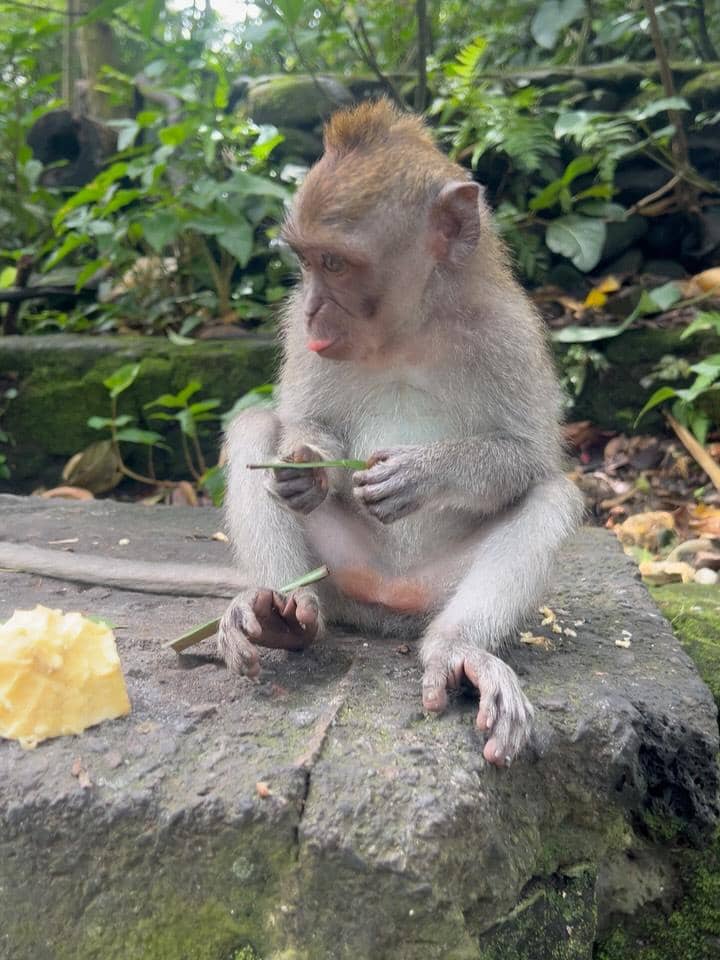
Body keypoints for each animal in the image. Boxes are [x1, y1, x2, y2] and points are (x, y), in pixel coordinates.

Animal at [216, 99, 583, 767]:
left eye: (335, 263)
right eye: (305, 262)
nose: (312, 309)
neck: (407, 331)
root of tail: (386, 600)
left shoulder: (509, 332)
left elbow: (530, 457)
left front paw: (422, 473)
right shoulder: (300, 337)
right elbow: (302, 424)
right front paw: (309, 467)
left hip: (436, 586)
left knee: (552, 494)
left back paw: (457, 651)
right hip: (337, 570)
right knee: (256, 424)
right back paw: (280, 612)